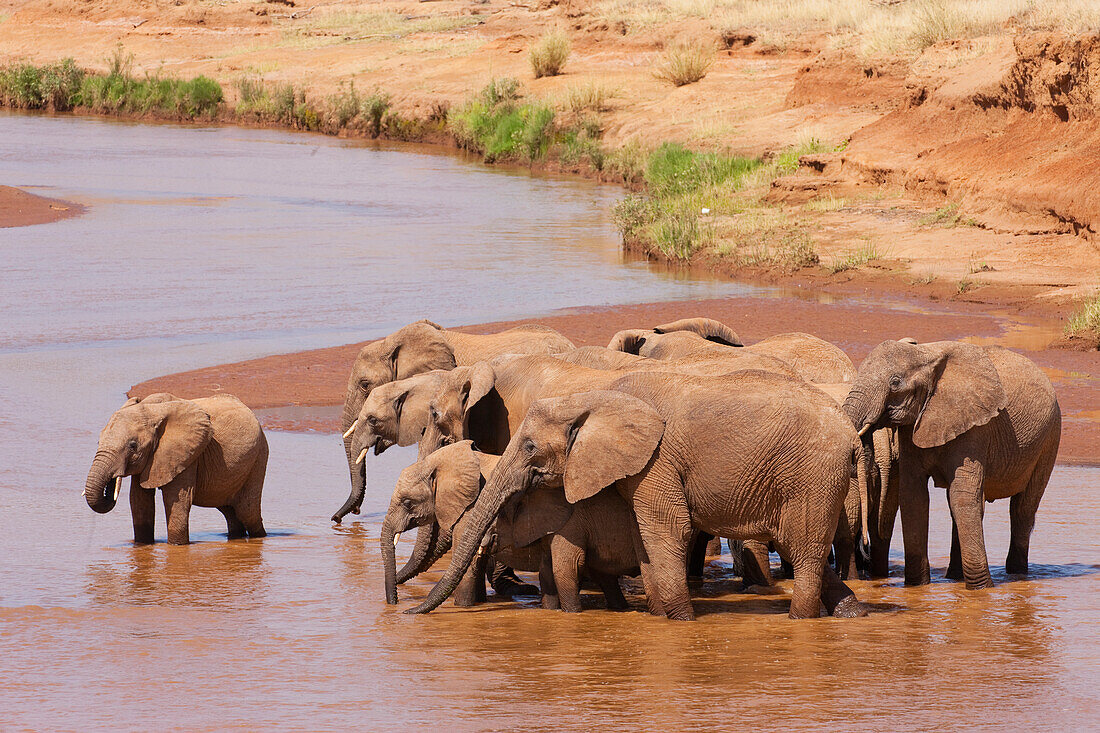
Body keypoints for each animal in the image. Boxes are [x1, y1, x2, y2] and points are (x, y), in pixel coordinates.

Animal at [83, 394, 268, 541]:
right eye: (99, 441)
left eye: (133, 445)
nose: (111, 482)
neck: (152, 410)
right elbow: (139, 501)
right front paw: (142, 545)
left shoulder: (186, 456)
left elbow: (176, 499)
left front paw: (177, 546)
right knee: (229, 510)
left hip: (259, 456)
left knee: (247, 512)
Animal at [407, 372, 866, 616]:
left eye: (530, 447)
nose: (406, 613)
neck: (597, 396)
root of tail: (852, 434)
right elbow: (645, 538)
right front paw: (659, 613)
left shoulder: (656, 460)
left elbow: (670, 530)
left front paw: (679, 620)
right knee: (797, 544)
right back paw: (852, 612)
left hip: (812, 475)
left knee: (803, 549)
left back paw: (800, 620)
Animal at [840, 338, 1064, 589]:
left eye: (895, 383)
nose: (865, 547)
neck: (926, 354)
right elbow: (914, 497)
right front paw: (917, 587)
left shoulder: (976, 425)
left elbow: (962, 495)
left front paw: (981, 591)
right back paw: (955, 577)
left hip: (1050, 436)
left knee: (1022, 509)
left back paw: (1017, 576)